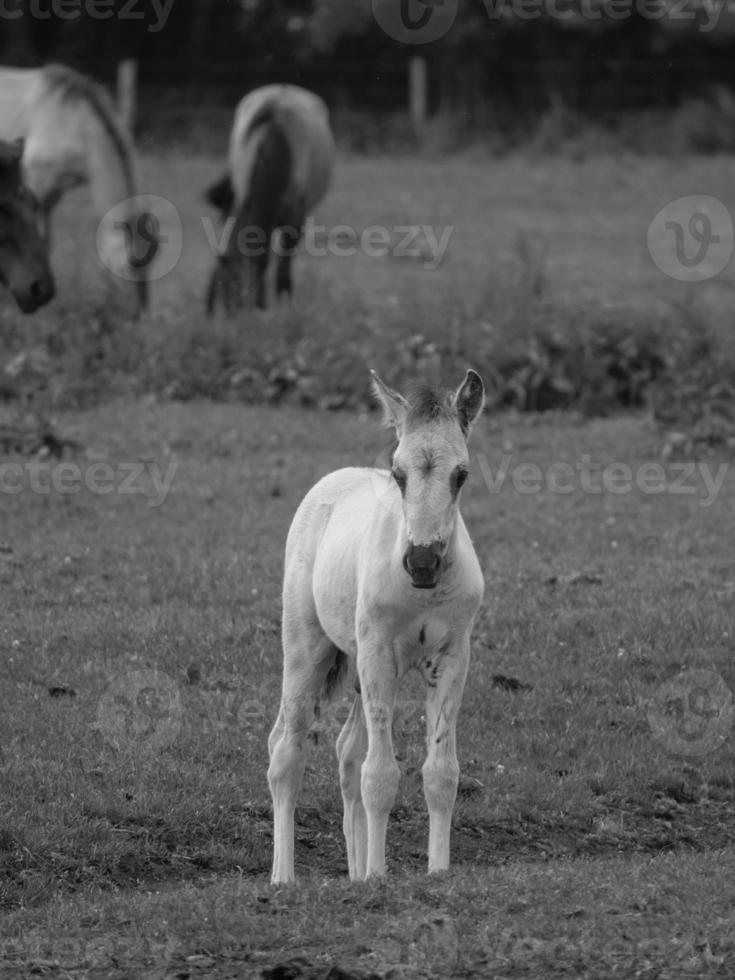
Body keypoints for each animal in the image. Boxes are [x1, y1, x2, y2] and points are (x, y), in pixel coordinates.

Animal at [206, 84, 334, 316]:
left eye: (231, 284)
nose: (232, 315)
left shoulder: (296, 217)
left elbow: (281, 266)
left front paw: (284, 305)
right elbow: (263, 253)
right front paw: (263, 305)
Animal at [268, 368, 486, 880]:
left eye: (461, 474)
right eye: (398, 473)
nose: (422, 562)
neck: (423, 592)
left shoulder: (453, 658)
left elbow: (440, 772)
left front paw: (434, 874)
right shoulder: (378, 654)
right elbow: (381, 774)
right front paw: (380, 879)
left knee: (347, 752)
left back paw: (355, 871)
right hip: (307, 648)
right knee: (286, 750)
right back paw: (283, 878)